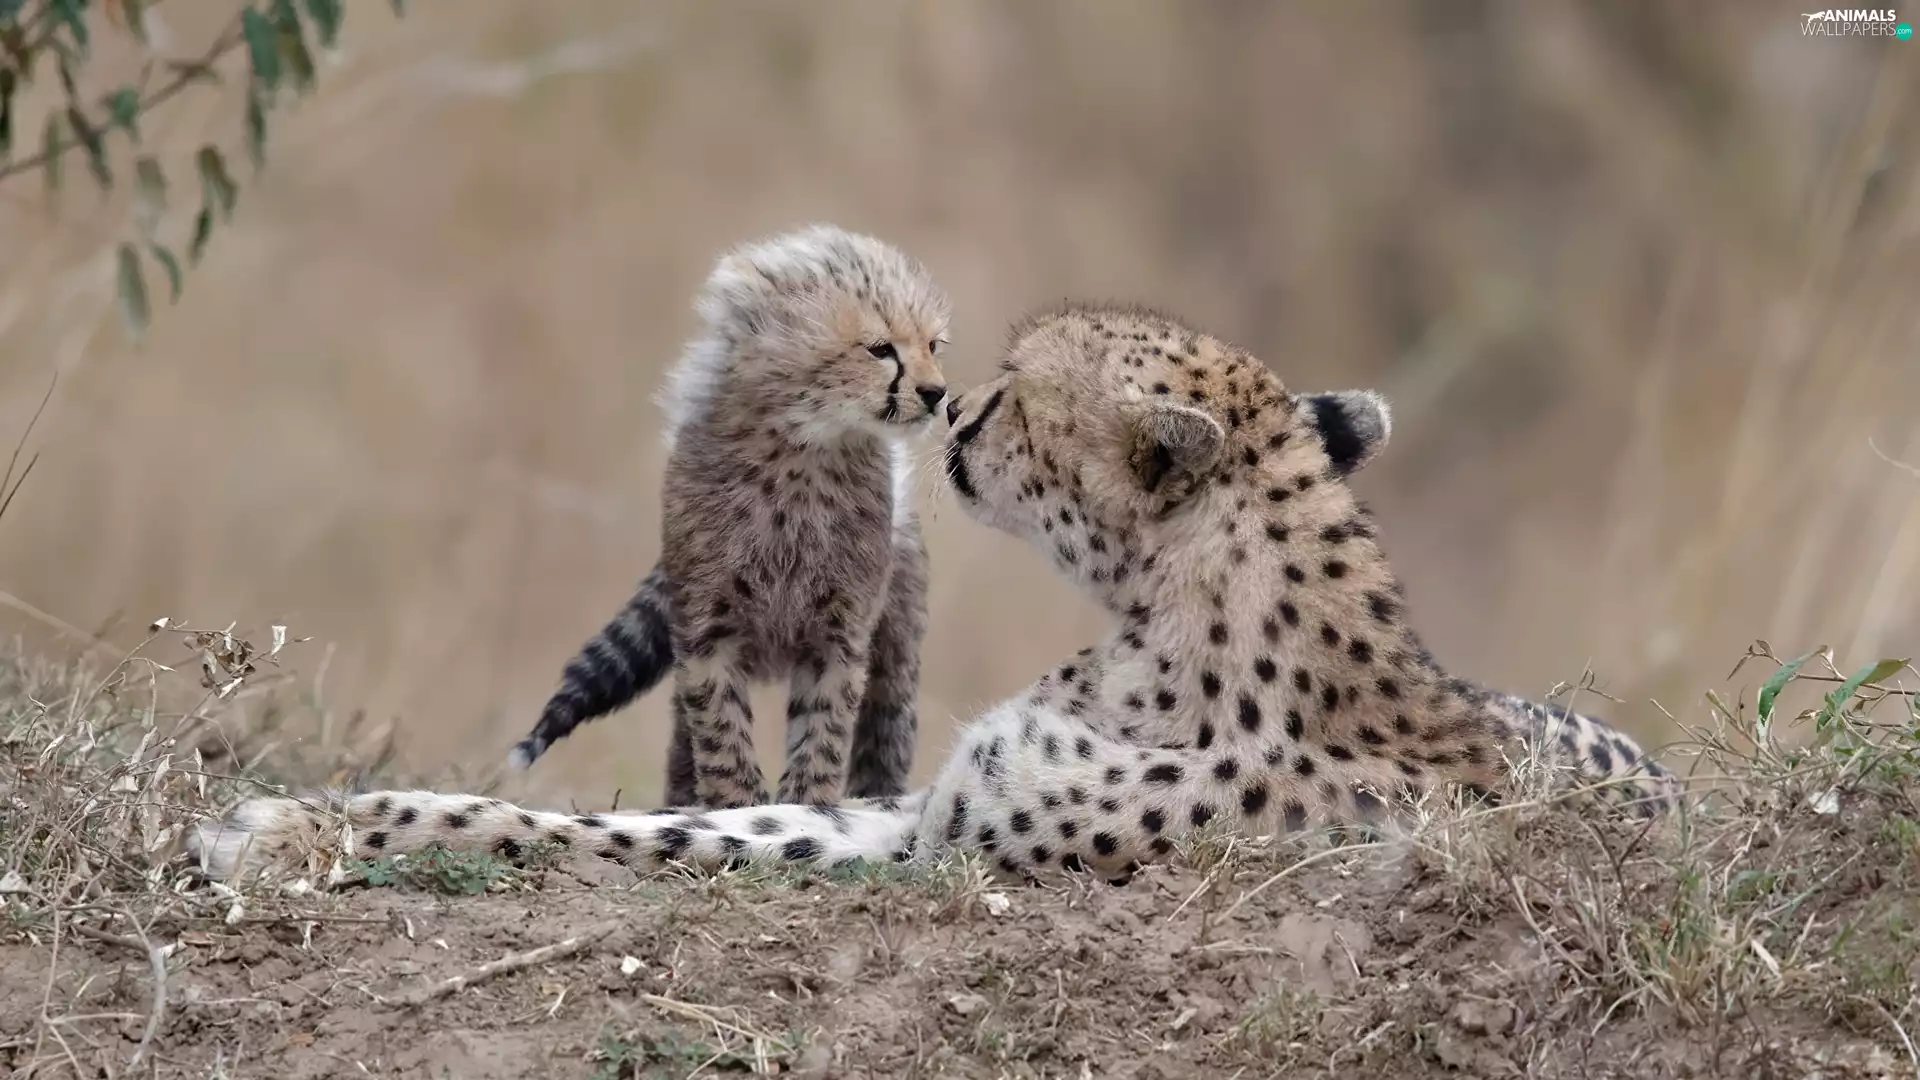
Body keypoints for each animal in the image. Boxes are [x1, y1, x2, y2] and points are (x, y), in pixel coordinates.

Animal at [193, 301, 1682, 887]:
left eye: (1019, 392)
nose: (955, 407)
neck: (1167, 622)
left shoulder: (952, 840)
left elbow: (661, 842)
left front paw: (290, 829)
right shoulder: (923, 808)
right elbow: (676, 820)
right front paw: (308, 814)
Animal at [505, 223, 952, 810]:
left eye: (932, 345)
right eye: (880, 349)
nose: (937, 393)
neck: (803, 452)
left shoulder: (839, 638)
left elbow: (823, 735)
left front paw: (805, 807)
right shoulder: (706, 634)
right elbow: (721, 734)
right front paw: (735, 807)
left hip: (897, 644)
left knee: (887, 724)